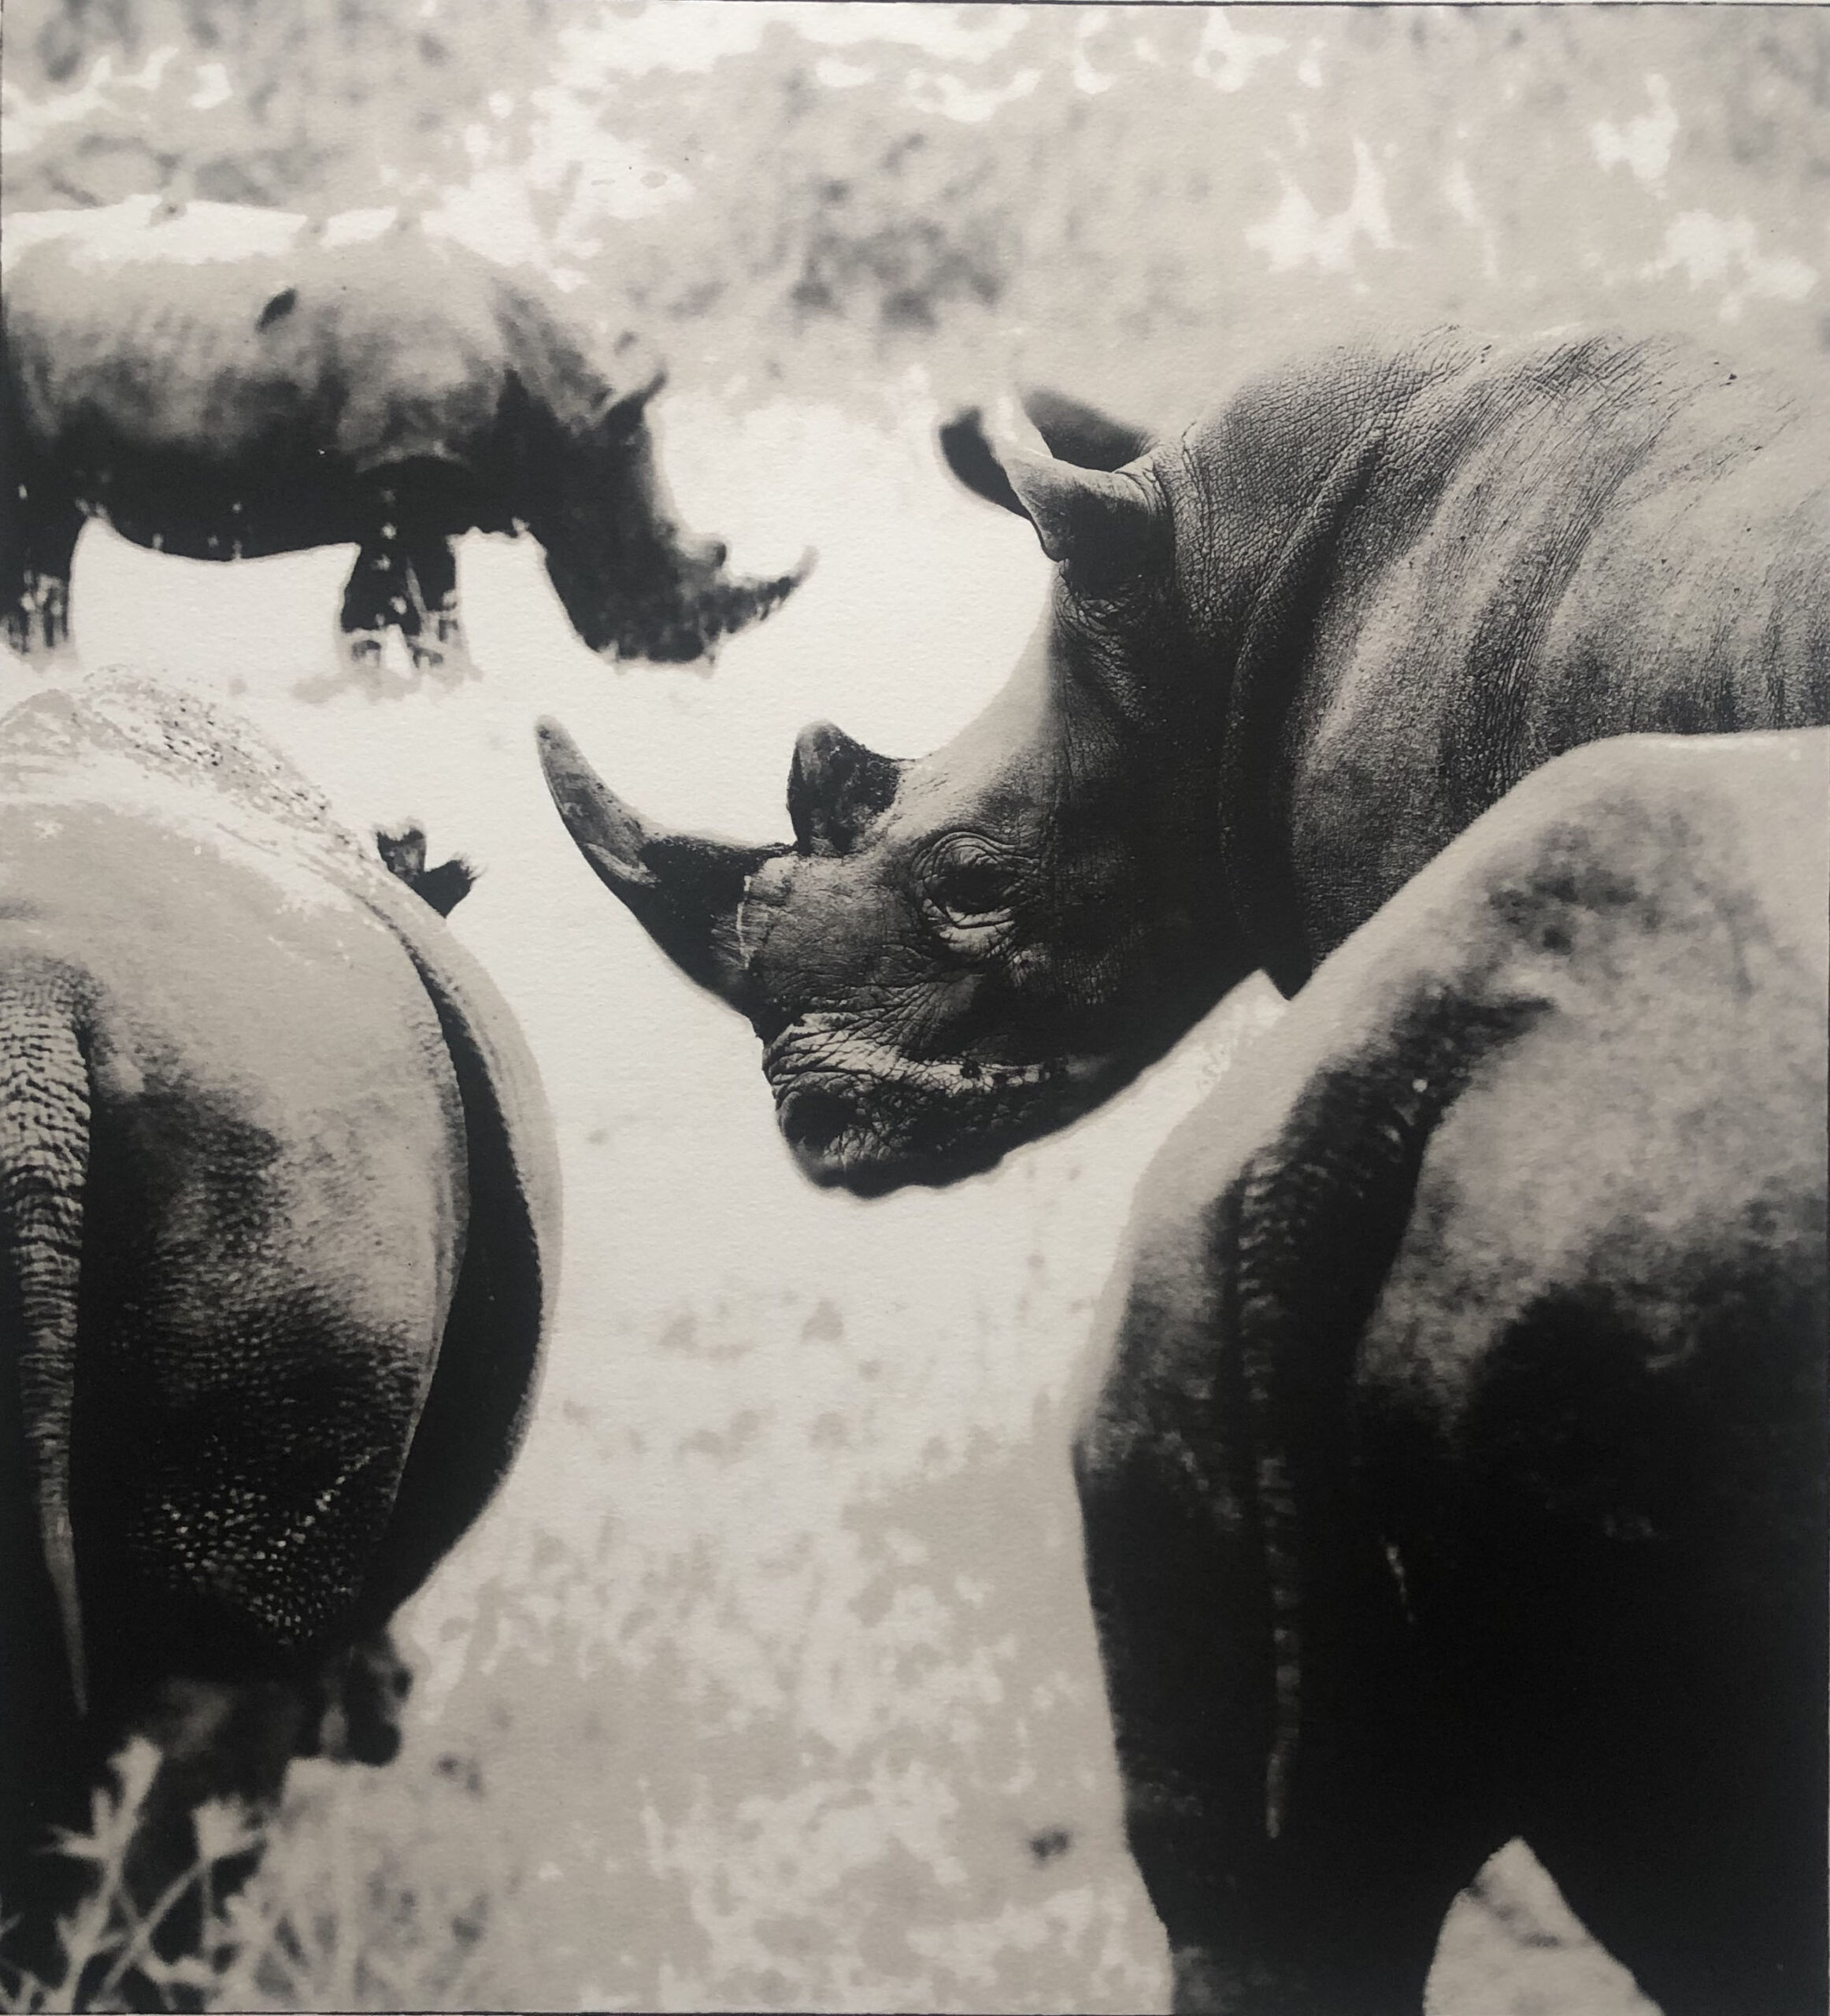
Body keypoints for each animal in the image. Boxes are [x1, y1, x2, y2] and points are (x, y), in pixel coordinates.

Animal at [2, 215, 810, 668]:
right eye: (643, 552)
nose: (684, 661)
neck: (571, 421)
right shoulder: (406, 477)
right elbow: (415, 614)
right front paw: (431, 687)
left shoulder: (418, 495)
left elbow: (387, 609)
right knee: (39, 528)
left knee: (49, 535)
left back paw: (53, 671)